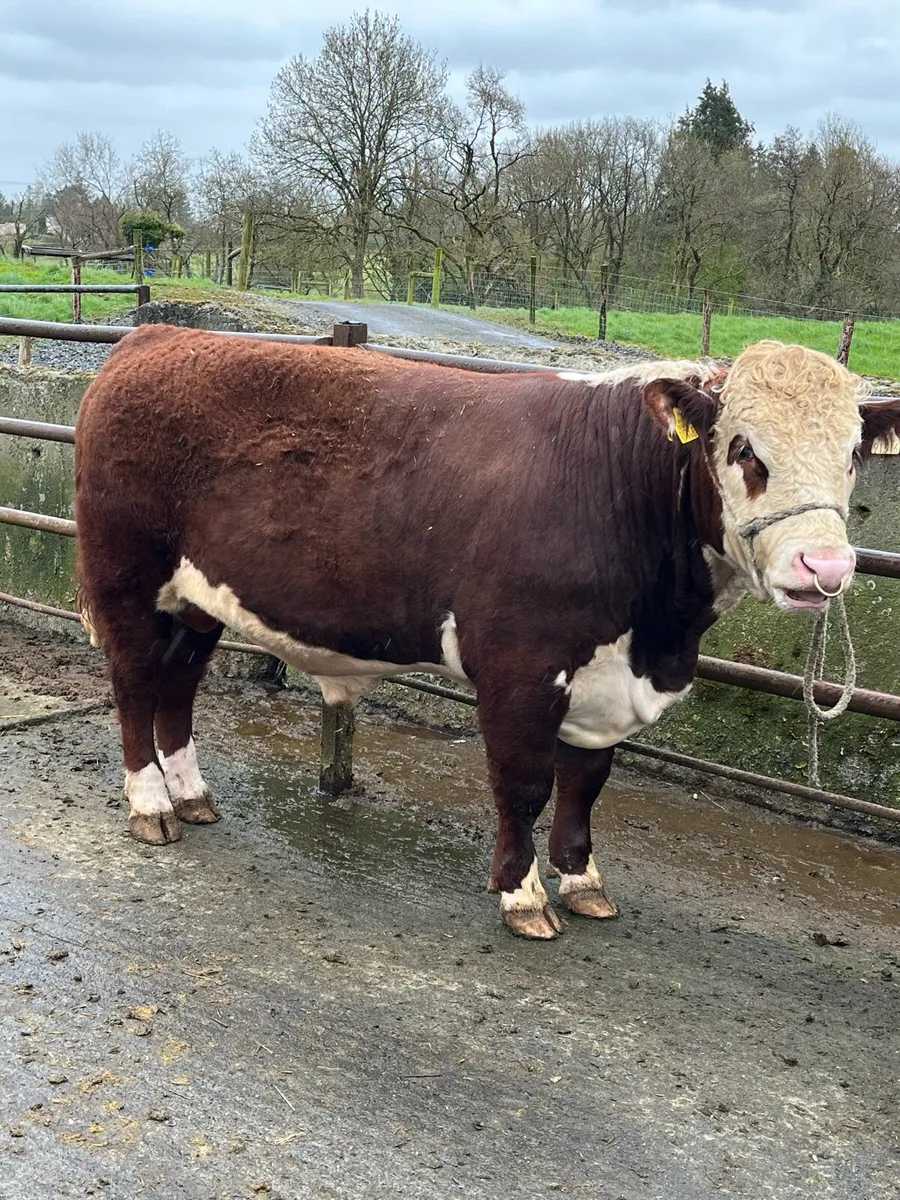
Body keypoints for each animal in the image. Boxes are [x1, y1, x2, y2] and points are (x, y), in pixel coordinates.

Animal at [74, 328, 900, 938]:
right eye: (744, 448)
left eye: (853, 456)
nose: (824, 566)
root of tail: (154, 338)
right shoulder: (520, 669)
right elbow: (525, 784)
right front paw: (523, 894)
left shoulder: (603, 678)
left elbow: (587, 781)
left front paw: (582, 878)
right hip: (125, 575)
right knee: (134, 681)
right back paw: (149, 805)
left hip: (197, 600)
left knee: (179, 683)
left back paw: (190, 793)